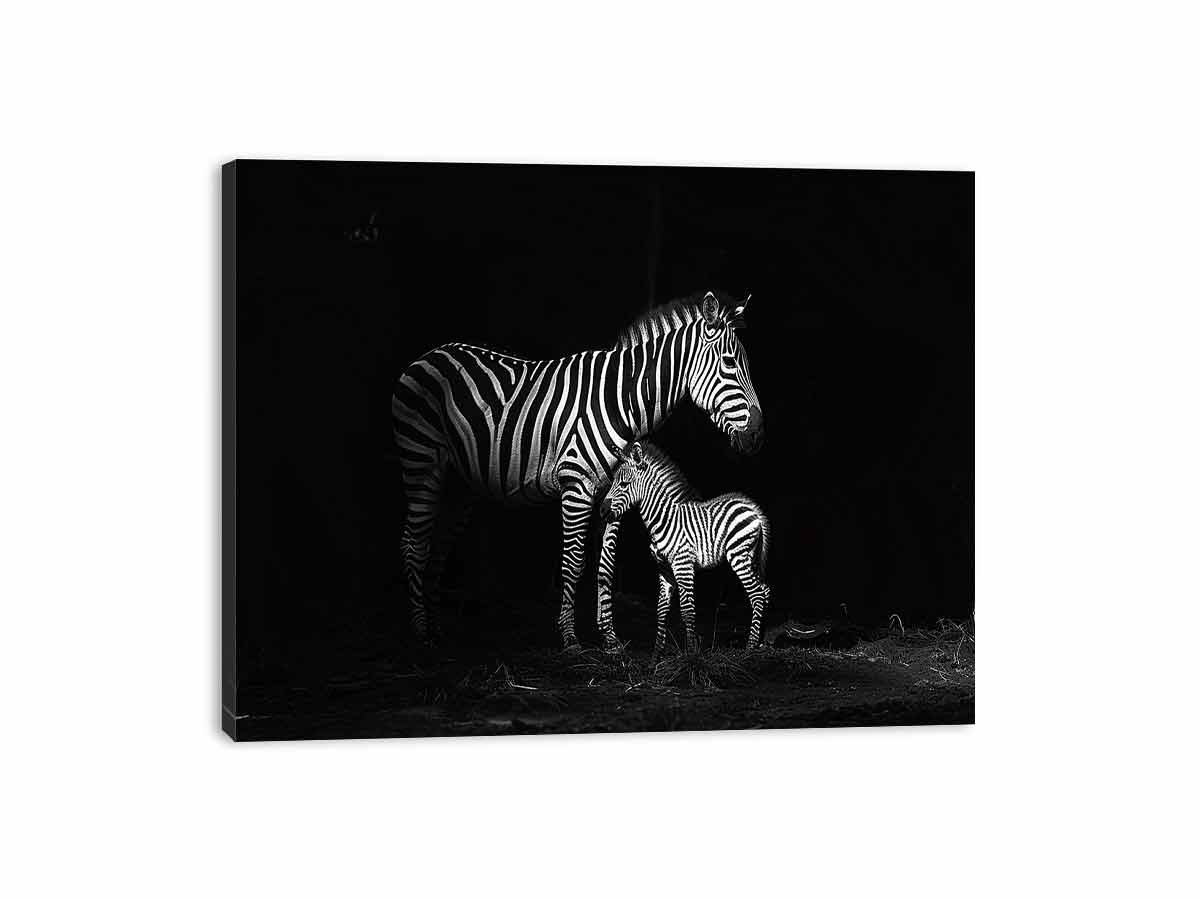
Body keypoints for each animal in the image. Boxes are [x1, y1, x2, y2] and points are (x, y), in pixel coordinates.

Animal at [600, 440, 772, 655]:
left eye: (624, 484)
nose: (602, 511)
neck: (662, 519)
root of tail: (753, 509)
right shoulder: (664, 568)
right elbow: (661, 609)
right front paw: (657, 654)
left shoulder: (683, 564)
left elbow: (687, 610)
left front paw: (691, 654)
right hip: (751, 557)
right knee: (765, 591)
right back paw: (761, 640)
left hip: (739, 555)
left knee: (757, 594)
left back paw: (750, 647)